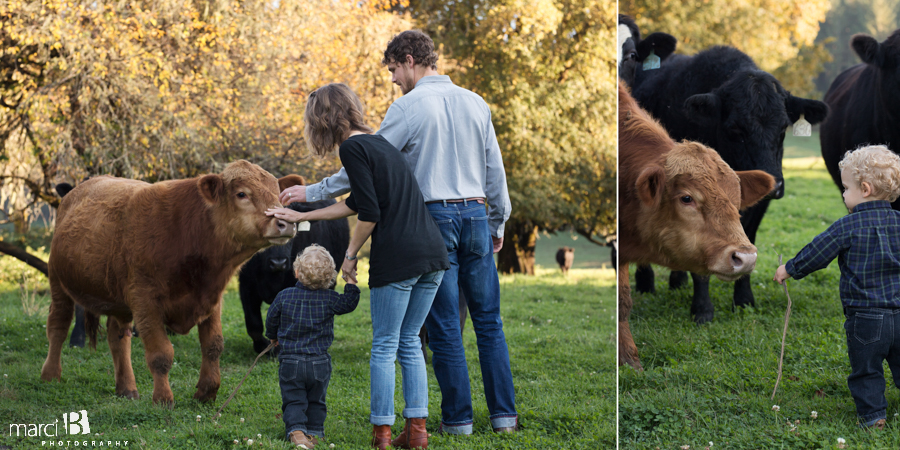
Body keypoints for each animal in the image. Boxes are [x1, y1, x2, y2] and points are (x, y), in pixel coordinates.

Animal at [40, 161, 302, 404]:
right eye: (241, 194)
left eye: (277, 193)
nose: (285, 223)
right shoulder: (145, 302)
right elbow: (161, 354)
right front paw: (163, 398)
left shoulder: (211, 299)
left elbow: (213, 346)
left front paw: (207, 392)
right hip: (58, 283)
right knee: (58, 326)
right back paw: (50, 375)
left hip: (117, 298)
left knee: (118, 337)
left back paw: (126, 388)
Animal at [628, 44, 828, 324]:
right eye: (736, 130)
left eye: (783, 128)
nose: (775, 185)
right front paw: (702, 309)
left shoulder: (757, 205)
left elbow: (747, 240)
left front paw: (744, 300)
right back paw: (645, 284)